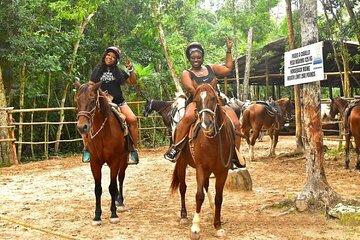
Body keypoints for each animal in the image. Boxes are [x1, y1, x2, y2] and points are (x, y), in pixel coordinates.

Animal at [74, 80, 129, 225]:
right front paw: (97, 216)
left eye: (93, 100)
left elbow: (112, 187)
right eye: (77, 100)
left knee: (120, 178)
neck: (103, 133)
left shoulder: (115, 161)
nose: (82, 127)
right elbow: (98, 189)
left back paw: (120, 202)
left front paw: (114, 214)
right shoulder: (95, 163)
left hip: (123, 160)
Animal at [171, 84, 238, 238]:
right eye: (196, 101)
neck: (212, 141)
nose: (206, 123)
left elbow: (219, 198)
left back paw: (212, 208)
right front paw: (195, 227)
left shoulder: (222, 171)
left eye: (213, 98)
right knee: (183, 188)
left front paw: (217, 225)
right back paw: (184, 215)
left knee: (206, 186)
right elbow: (199, 195)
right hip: (182, 163)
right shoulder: (201, 168)